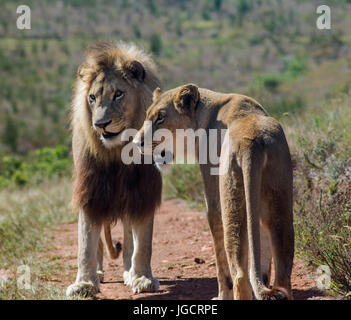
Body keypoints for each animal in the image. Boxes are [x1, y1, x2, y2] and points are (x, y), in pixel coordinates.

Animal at [66, 41, 162, 296]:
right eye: (92, 98)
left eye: (118, 94)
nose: (100, 124)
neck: (118, 151)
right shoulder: (91, 191)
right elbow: (86, 243)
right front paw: (84, 283)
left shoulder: (143, 191)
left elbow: (143, 243)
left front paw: (142, 278)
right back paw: (98, 272)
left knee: (129, 238)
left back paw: (129, 271)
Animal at [133, 84, 296, 298]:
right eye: (147, 115)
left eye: (160, 117)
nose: (136, 143)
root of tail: (253, 140)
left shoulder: (213, 201)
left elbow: (221, 264)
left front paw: (221, 296)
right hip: (280, 205)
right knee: (283, 274)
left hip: (231, 203)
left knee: (240, 275)